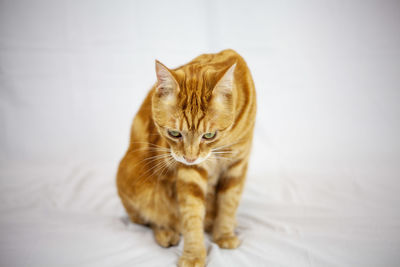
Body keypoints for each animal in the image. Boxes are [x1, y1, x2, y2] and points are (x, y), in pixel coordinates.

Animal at [117, 49, 258, 266]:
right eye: (174, 133)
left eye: (209, 135)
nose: (190, 157)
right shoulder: (191, 173)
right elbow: (192, 215)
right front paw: (194, 255)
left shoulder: (237, 165)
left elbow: (229, 203)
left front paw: (224, 235)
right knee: (152, 219)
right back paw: (166, 233)